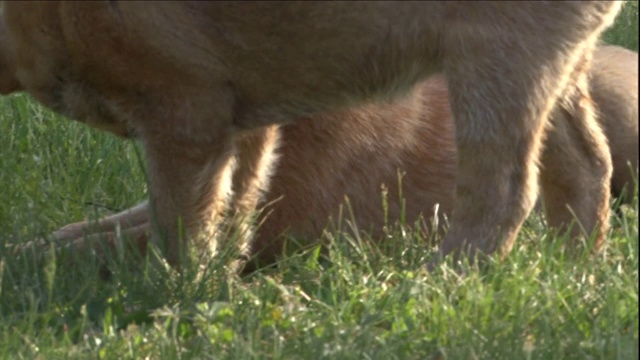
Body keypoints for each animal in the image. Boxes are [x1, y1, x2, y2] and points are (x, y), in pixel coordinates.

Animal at [0, 2, 620, 268]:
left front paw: (174, 294)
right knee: (587, 167)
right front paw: (220, 282)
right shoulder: (242, 122)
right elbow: (231, 206)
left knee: (505, 195)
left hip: (499, 58)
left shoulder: (186, 105)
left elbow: (178, 226)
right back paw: (573, 270)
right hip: (558, 67)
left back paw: (435, 280)